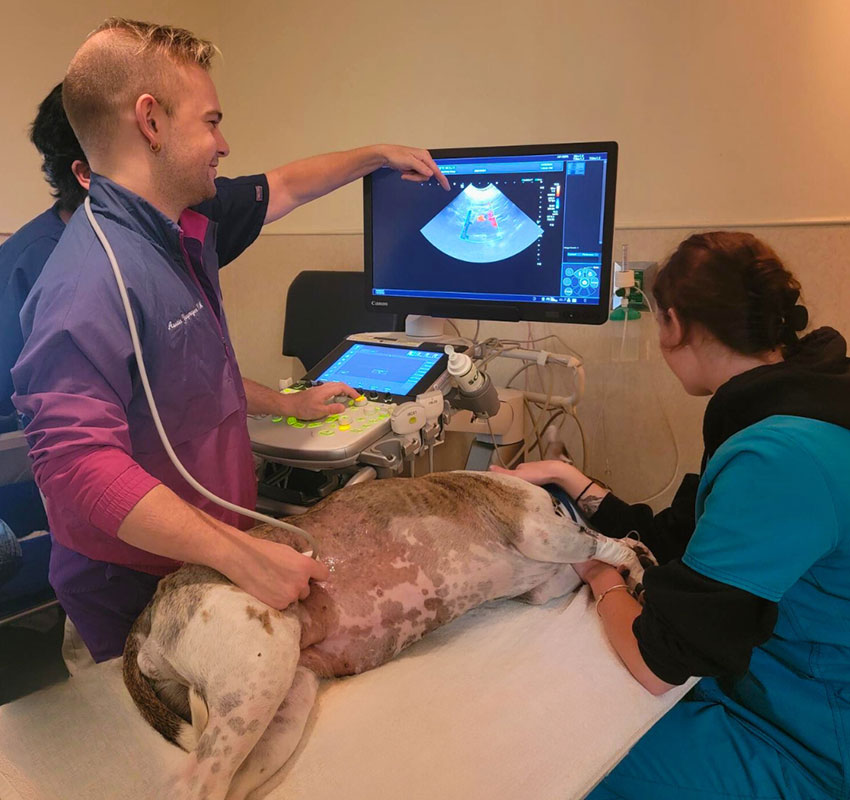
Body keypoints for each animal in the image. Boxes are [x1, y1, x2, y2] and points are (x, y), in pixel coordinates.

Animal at [121, 472, 648, 796]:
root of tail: (147, 615)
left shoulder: (546, 586)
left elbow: (585, 565)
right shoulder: (543, 532)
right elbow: (605, 545)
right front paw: (638, 561)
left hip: (280, 709)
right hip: (255, 678)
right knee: (196, 784)